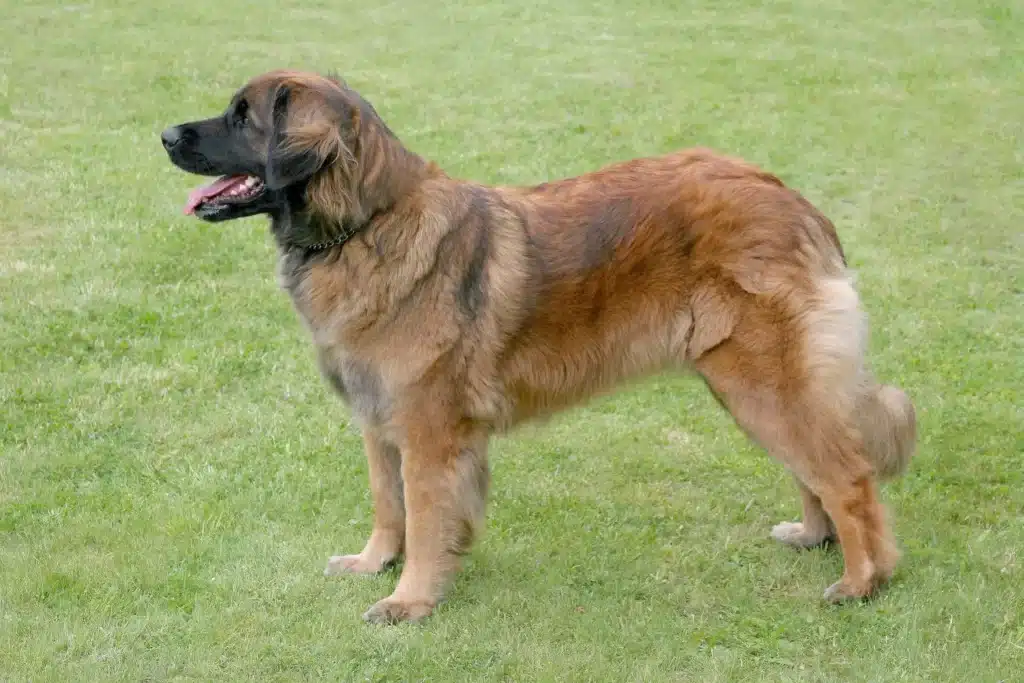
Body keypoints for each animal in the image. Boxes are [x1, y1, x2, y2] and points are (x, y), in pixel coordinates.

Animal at [161, 69, 921, 626]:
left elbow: (425, 516)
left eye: (243, 118)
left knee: (848, 475)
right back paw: (814, 536)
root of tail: (793, 201)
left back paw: (862, 580)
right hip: (752, 386)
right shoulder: (378, 419)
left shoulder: (429, 431)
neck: (368, 224)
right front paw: (374, 562)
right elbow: (387, 503)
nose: (165, 133)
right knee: (815, 467)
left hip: (762, 381)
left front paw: (410, 599)